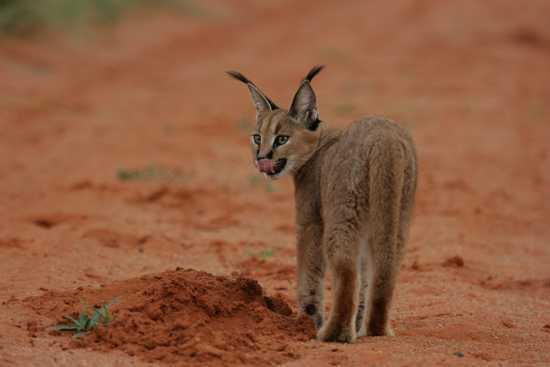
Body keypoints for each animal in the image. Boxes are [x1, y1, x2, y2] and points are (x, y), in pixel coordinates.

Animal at [227, 65, 418, 342]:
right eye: (256, 137)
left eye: (282, 139)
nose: (261, 158)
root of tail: (385, 138)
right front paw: (357, 322)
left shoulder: (310, 220)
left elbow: (309, 270)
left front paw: (306, 321)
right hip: (398, 215)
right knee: (384, 269)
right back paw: (376, 330)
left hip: (343, 213)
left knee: (346, 272)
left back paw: (333, 334)